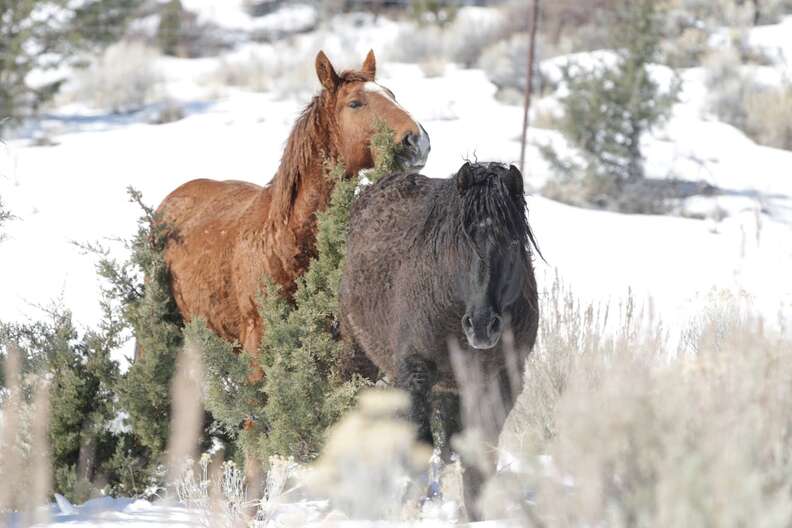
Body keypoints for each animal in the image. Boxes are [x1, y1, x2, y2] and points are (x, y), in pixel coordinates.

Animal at [338, 162, 540, 520]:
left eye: (513, 242)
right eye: (462, 241)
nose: (483, 326)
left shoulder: (500, 380)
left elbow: (478, 458)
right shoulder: (415, 372)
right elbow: (418, 447)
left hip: (449, 389)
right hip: (358, 356)